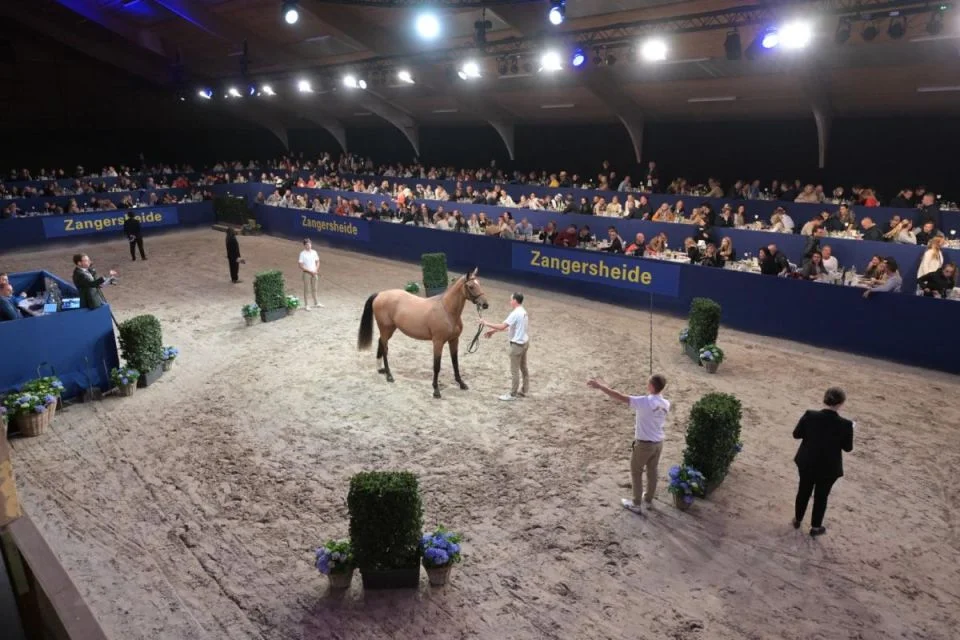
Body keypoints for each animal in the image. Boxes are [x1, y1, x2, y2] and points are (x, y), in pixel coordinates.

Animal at [357, 268, 490, 398]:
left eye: (479, 284)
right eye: (471, 286)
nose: (485, 304)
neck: (446, 310)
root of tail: (380, 294)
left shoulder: (454, 340)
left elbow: (455, 362)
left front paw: (461, 383)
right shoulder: (438, 342)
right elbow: (437, 365)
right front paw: (436, 390)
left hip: (389, 329)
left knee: (381, 342)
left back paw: (381, 369)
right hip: (386, 328)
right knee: (385, 349)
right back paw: (389, 375)